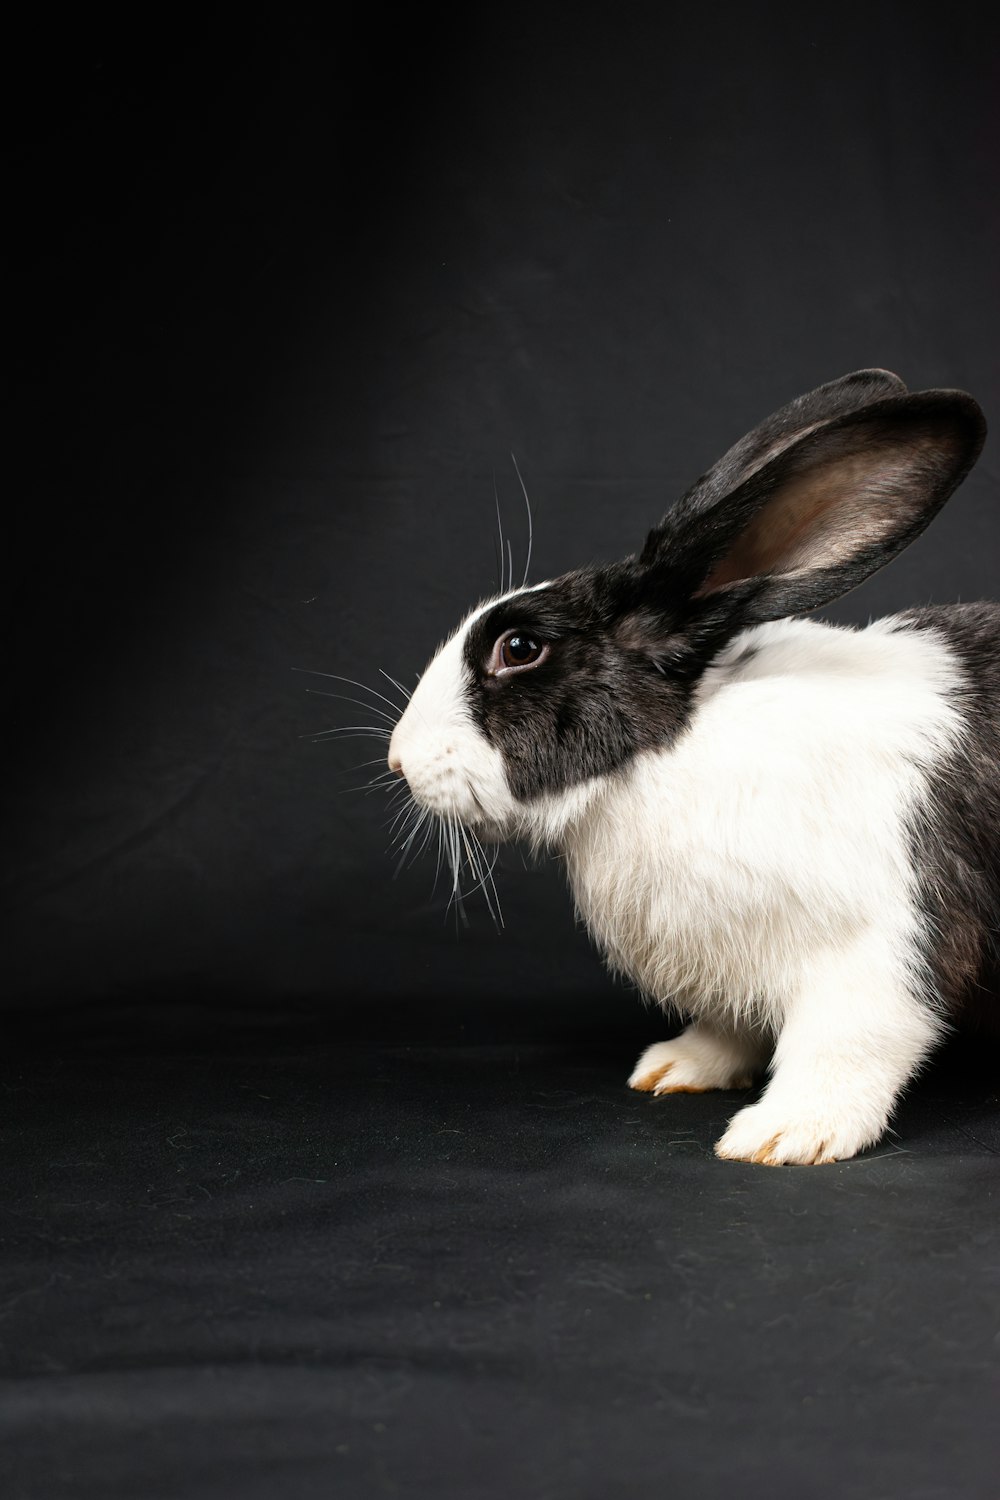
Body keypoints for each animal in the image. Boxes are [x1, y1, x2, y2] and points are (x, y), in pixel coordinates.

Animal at [383, 369, 995, 1164]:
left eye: (519, 648)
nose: (397, 760)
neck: (663, 754)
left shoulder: (880, 952)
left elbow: (846, 1045)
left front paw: (785, 1133)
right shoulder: (737, 966)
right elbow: (732, 1026)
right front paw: (676, 1068)